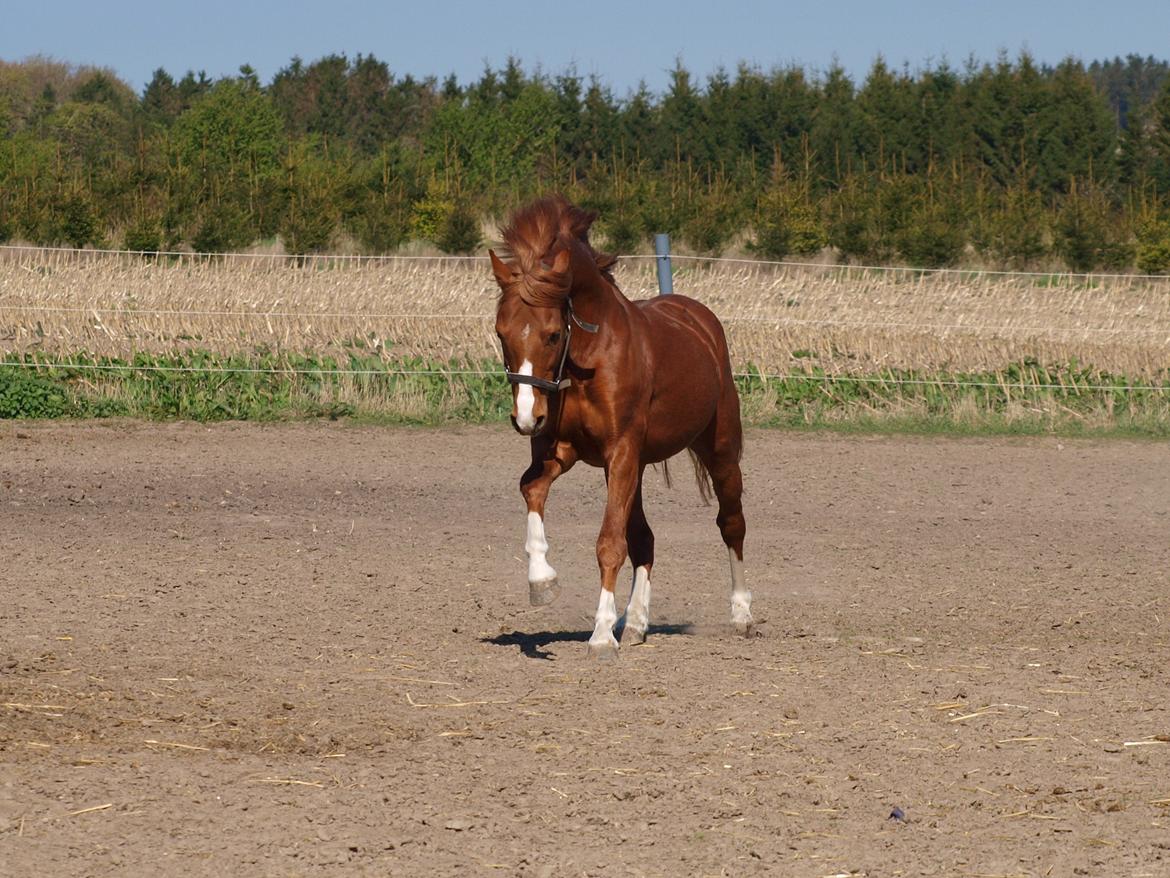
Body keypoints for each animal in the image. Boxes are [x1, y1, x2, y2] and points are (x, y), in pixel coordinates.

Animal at [489, 195, 751, 658]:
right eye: (502, 333)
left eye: (553, 334)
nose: (525, 418)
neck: (590, 353)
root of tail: (699, 318)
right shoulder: (562, 452)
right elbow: (531, 489)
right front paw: (542, 582)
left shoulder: (621, 451)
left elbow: (610, 543)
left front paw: (599, 636)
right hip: (636, 467)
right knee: (644, 538)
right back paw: (636, 623)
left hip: (717, 450)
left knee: (731, 523)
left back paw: (741, 615)